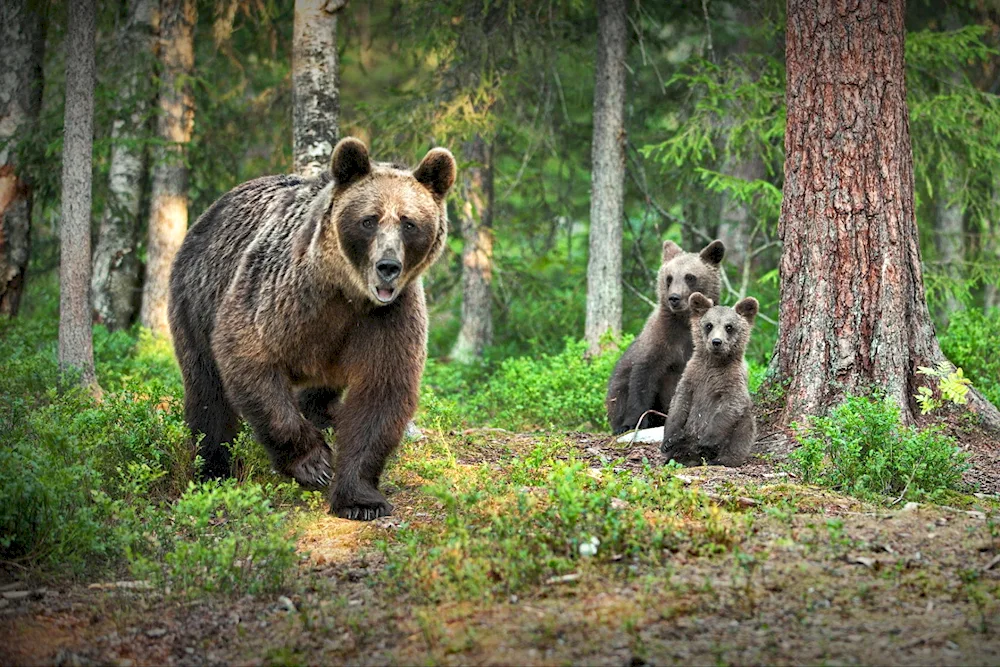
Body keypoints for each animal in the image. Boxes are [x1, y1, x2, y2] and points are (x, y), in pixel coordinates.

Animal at [169, 137, 458, 520]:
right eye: (369, 220)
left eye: (409, 223)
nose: (388, 267)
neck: (346, 292)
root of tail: (212, 210)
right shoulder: (280, 296)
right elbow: (248, 357)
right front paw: (314, 464)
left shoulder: (388, 317)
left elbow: (381, 393)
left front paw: (360, 499)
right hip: (196, 297)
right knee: (207, 392)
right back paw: (212, 470)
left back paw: (322, 413)